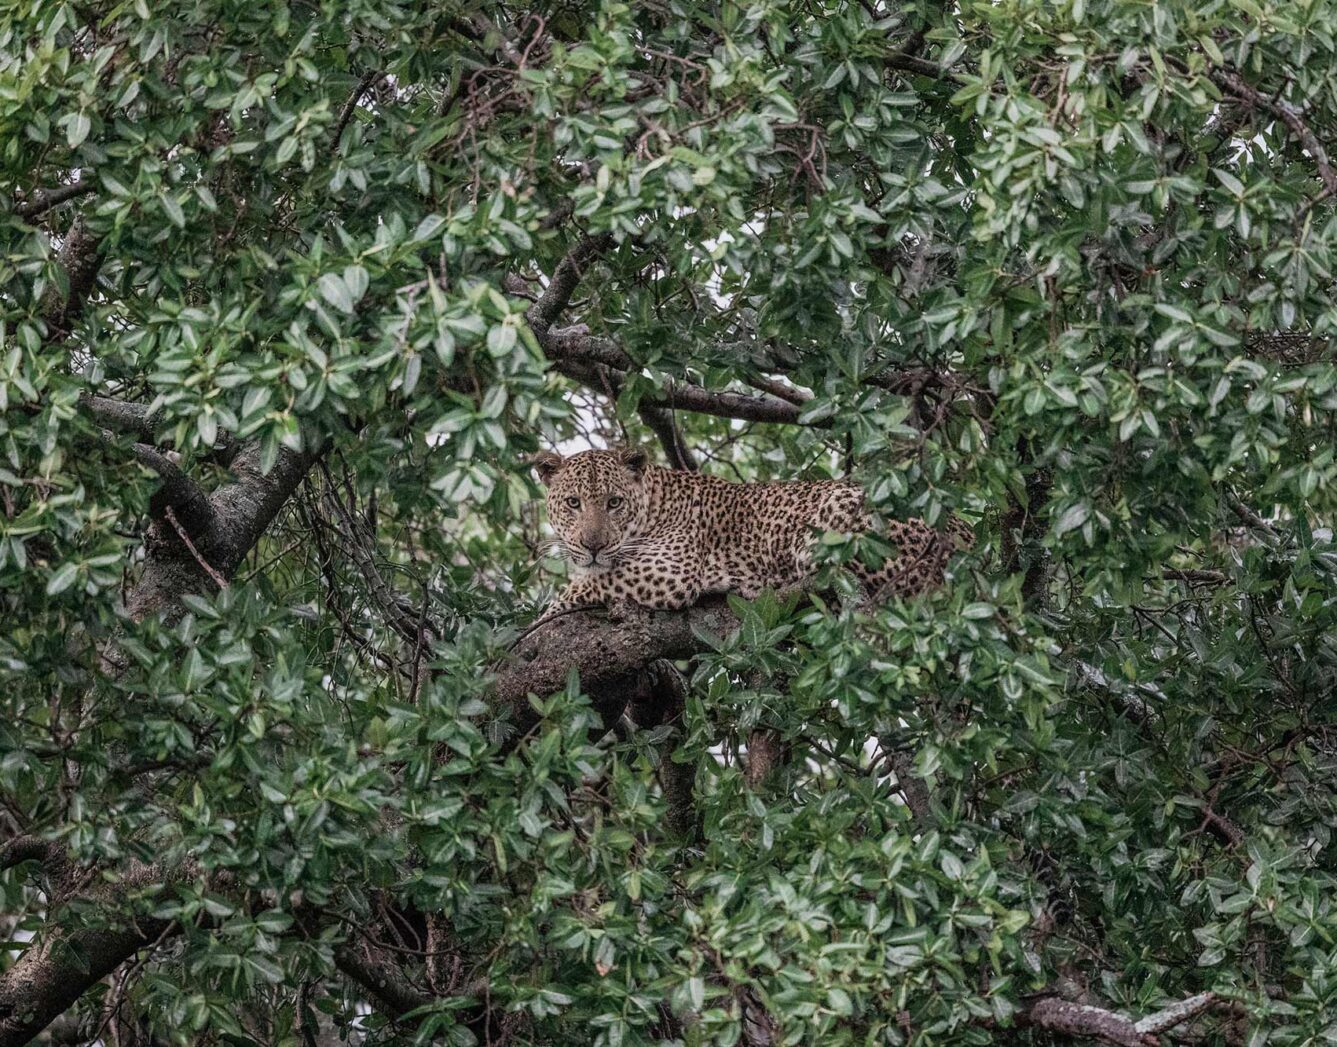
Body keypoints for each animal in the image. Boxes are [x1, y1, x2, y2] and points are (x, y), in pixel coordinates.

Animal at [532, 446, 973, 617]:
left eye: (613, 503)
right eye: (573, 503)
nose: (592, 544)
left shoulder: (671, 572)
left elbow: (590, 584)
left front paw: (544, 616)